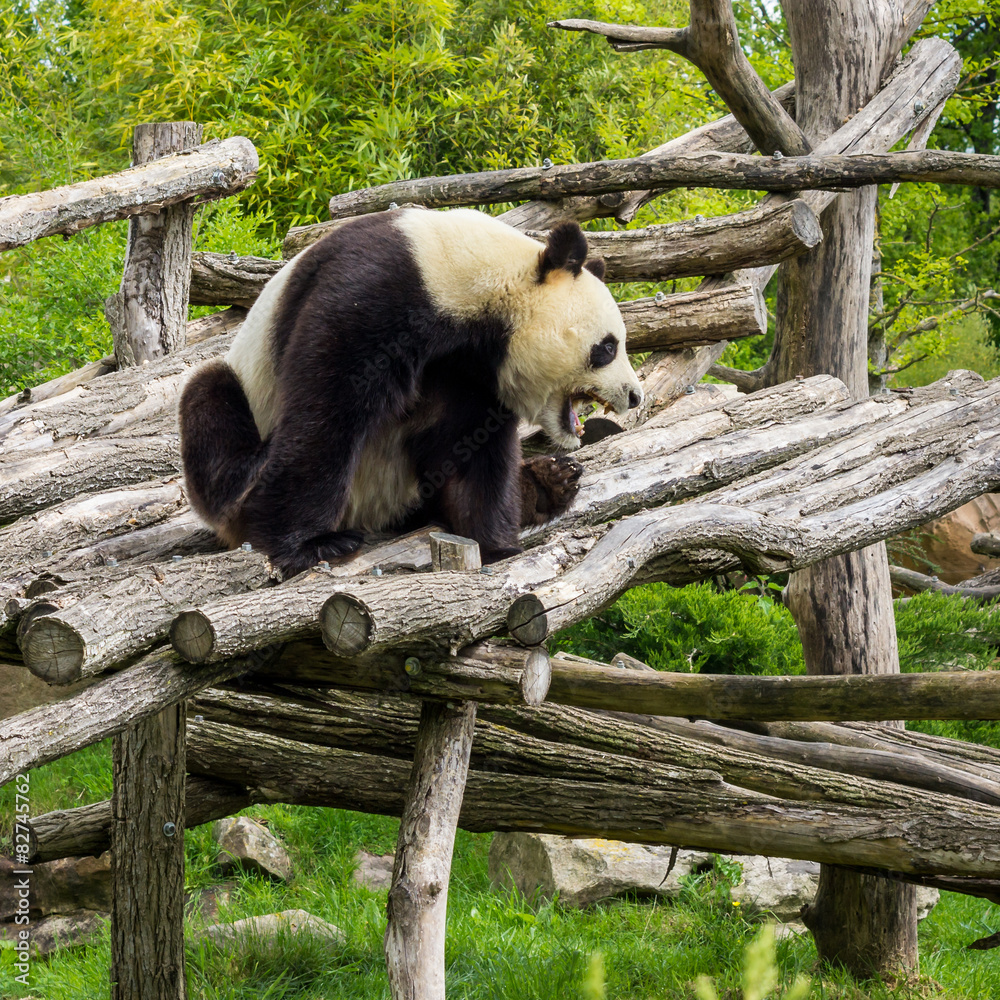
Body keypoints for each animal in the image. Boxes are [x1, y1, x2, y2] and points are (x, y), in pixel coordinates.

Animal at [179, 207, 643, 577]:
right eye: (607, 347)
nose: (634, 395)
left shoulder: (471, 371)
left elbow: (472, 449)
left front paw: (496, 545)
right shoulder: (375, 294)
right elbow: (326, 411)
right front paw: (309, 545)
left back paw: (551, 483)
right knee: (210, 400)